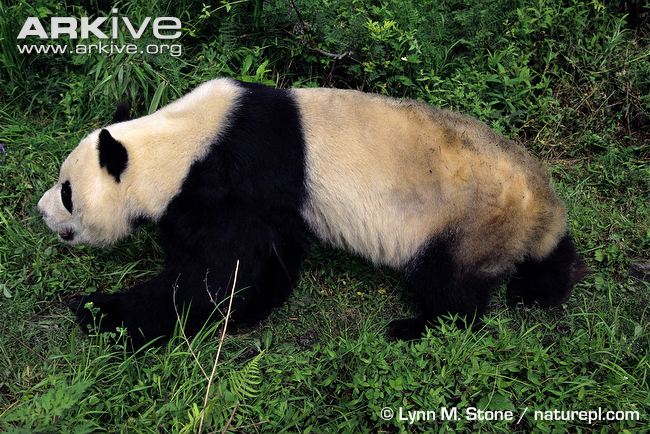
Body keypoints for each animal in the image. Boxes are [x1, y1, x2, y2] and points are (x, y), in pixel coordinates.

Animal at [38, 78, 585, 348]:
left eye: (67, 192)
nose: (41, 212)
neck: (177, 143)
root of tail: (541, 205)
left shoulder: (235, 177)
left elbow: (218, 275)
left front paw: (97, 311)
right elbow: (262, 267)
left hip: (463, 223)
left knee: (450, 286)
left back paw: (415, 328)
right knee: (550, 259)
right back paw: (542, 288)